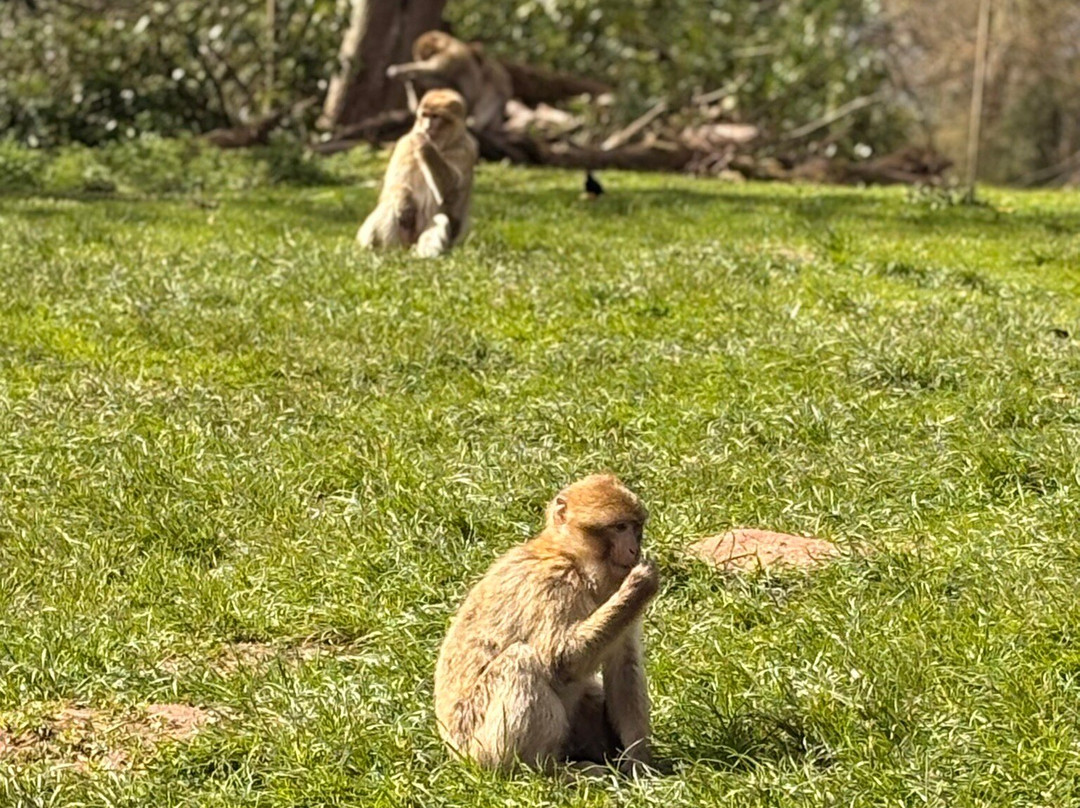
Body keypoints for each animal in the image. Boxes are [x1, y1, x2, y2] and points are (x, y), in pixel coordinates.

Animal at [357, 88, 478, 258]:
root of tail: (408, 246)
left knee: (440, 220)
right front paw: (404, 202)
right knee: (390, 206)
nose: (426, 126)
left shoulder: (467, 149)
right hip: (402, 239)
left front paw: (425, 145)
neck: (443, 146)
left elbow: (453, 199)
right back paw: (382, 250)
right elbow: (392, 188)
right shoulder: (405, 143)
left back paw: (424, 254)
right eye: (425, 115)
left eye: (435, 116)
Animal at [434, 474, 659, 775]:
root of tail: (453, 752)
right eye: (619, 527)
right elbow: (560, 659)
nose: (634, 549)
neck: (572, 559)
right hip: (477, 745)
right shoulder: (553, 583)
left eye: (636, 527)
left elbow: (624, 665)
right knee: (520, 661)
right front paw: (639, 586)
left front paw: (639, 763)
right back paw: (546, 771)